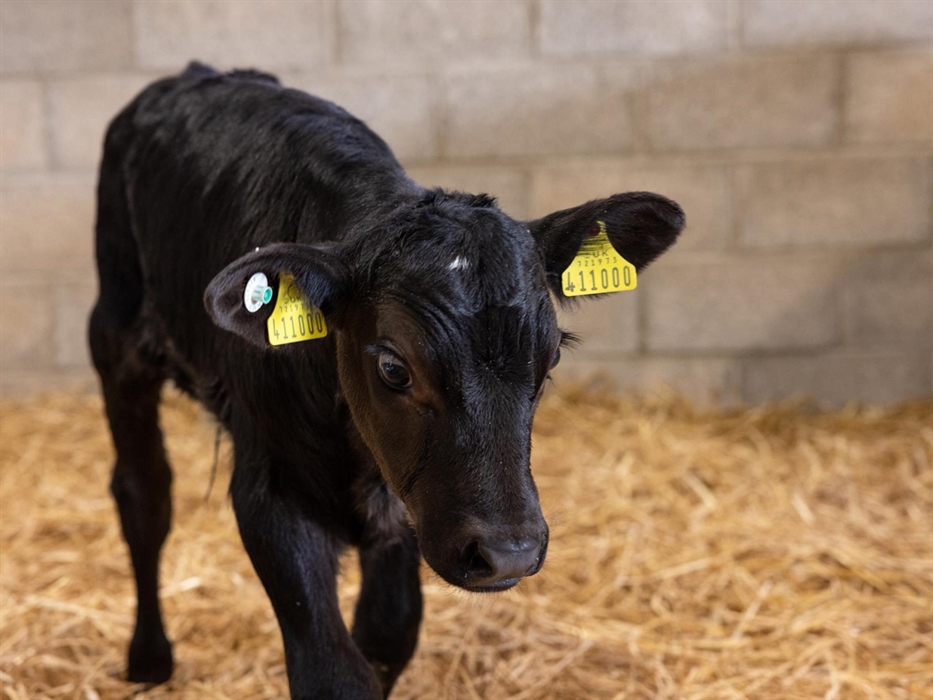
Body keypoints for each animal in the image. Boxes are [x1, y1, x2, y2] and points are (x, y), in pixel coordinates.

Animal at [88, 62, 684, 699]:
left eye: (548, 361)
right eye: (394, 367)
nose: (508, 553)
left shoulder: (406, 504)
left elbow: (387, 634)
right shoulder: (271, 490)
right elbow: (331, 670)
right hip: (115, 335)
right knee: (144, 494)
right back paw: (149, 657)